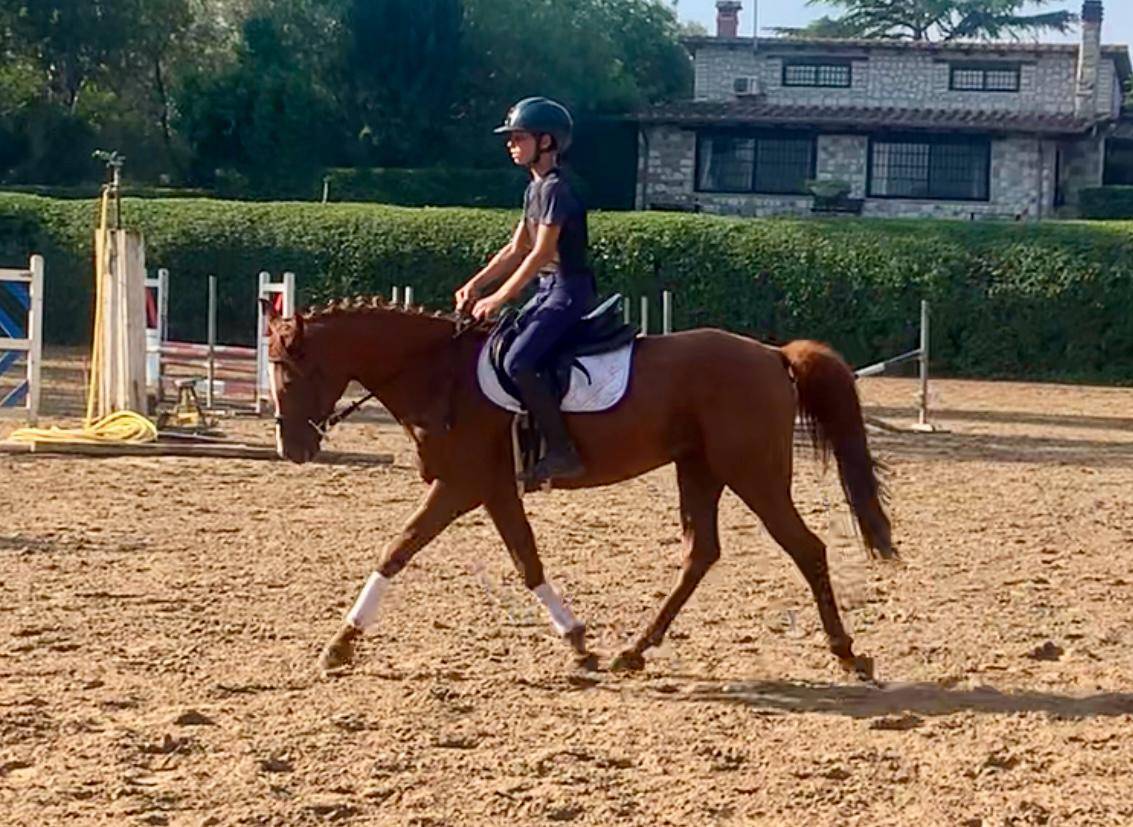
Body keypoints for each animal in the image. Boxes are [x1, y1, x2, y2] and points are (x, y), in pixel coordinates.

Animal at [262, 296, 895, 679]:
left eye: (289, 371)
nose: (291, 449)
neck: (438, 373)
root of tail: (770, 353)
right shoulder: (494, 489)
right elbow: (526, 561)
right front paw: (580, 643)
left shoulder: (461, 485)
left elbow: (399, 549)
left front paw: (340, 644)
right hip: (699, 469)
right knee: (701, 554)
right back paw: (634, 651)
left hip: (753, 474)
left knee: (806, 549)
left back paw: (848, 654)